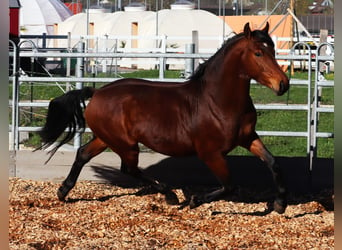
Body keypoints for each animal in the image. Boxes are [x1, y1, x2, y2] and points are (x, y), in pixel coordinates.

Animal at [37, 22, 288, 213]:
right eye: (258, 53)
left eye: (273, 51)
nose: (283, 84)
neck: (218, 101)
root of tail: (97, 92)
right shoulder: (211, 153)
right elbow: (229, 186)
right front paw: (195, 200)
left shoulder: (248, 137)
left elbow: (273, 163)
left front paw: (280, 204)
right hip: (125, 144)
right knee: (129, 169)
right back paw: (170, 195)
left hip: (108, 138)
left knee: (84, 154)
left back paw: (63, 190)